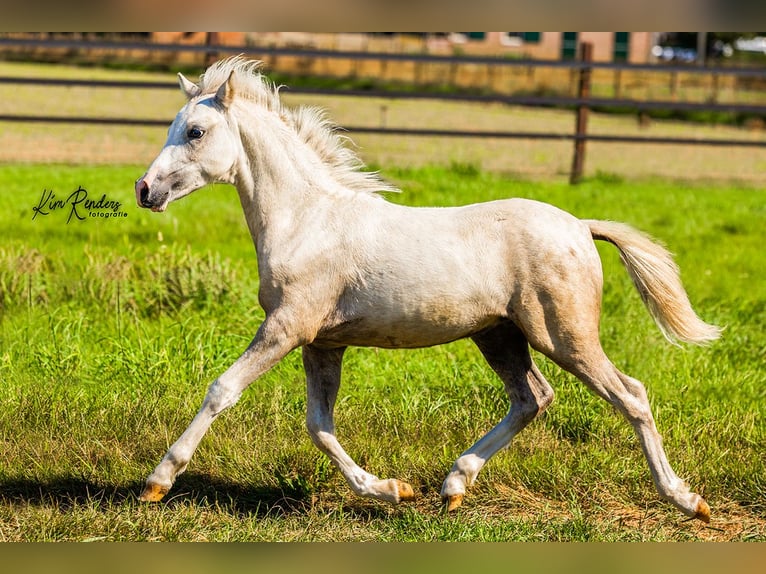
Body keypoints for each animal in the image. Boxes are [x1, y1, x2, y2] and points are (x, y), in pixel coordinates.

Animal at [136, 56, 720, 524]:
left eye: (195, 131)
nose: (145, 189)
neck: (307, 220)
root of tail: (580, 225)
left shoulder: (287, 327)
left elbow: (223, 389)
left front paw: (157, 482)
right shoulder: (323, 342)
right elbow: (319, 425)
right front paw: (392, 490)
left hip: (563, 334)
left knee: (630, 395)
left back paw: (687, 500)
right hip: (499, 335)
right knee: (532, 398)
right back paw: (453, 485)